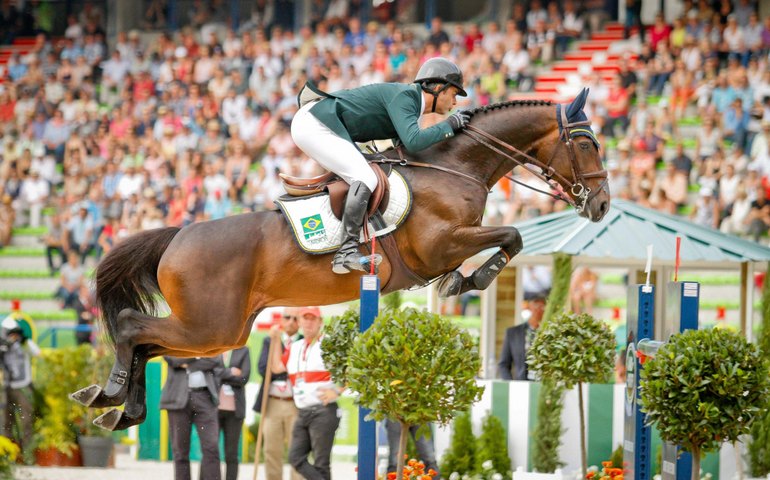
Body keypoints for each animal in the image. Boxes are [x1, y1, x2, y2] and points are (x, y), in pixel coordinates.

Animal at [71, 88, 609, 431]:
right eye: (585, 143)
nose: (601, 205)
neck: (453, 167)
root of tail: (178, 235)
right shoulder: (442, 243)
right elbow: (512, 236)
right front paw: (466, 282)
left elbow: (508, 238)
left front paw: (462, 282)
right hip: (210, 325)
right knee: (130, 326)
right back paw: (107, 394)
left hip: (221, 331)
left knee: (146, 342)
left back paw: (117, 408)